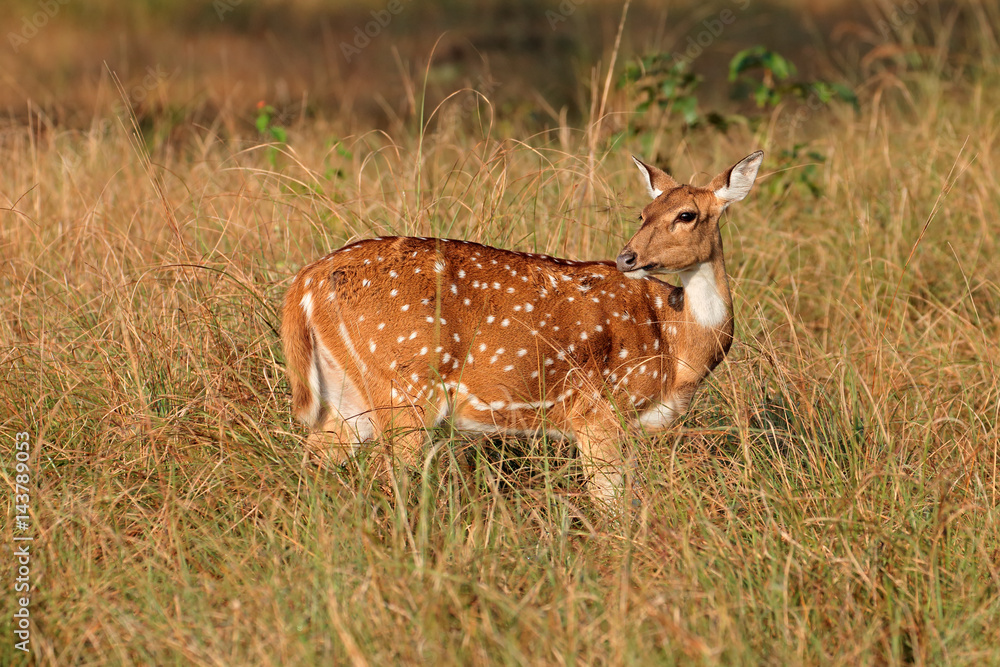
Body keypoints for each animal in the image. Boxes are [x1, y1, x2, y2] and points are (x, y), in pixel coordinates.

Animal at [281, 150, 764, 505]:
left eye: (686, 214)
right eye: (642, 213)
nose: (627, 257)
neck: (676, 345)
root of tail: (304, 284)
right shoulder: (598, 413)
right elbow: (612, 507)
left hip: (349, 392)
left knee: (312, 460)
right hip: (405, 385)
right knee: (390, 476)